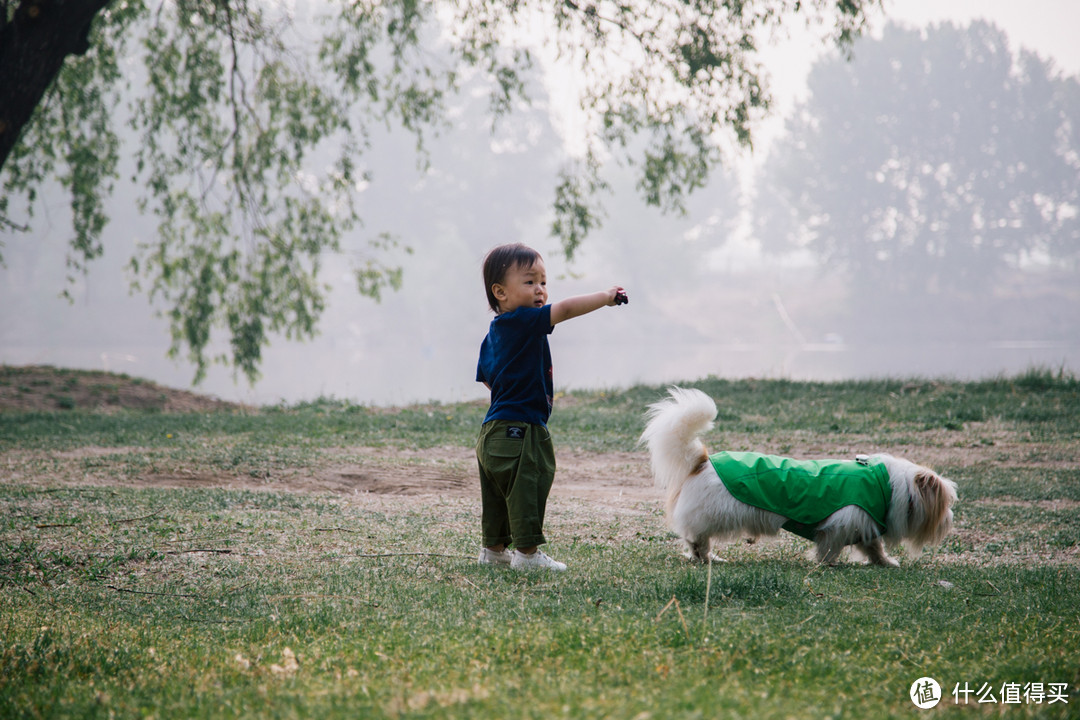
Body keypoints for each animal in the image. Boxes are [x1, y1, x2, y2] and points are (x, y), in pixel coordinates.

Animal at [635, 388, 959, 569]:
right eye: (946, 504)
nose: (951, 519)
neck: (889, 488)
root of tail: (703, 460)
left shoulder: (864, 527)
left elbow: (874, 548)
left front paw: (886, 563)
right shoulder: (842, 523)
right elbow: (830, 548)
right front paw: (827, 564)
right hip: (710, 516)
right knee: (696, 539)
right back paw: (705, 557)